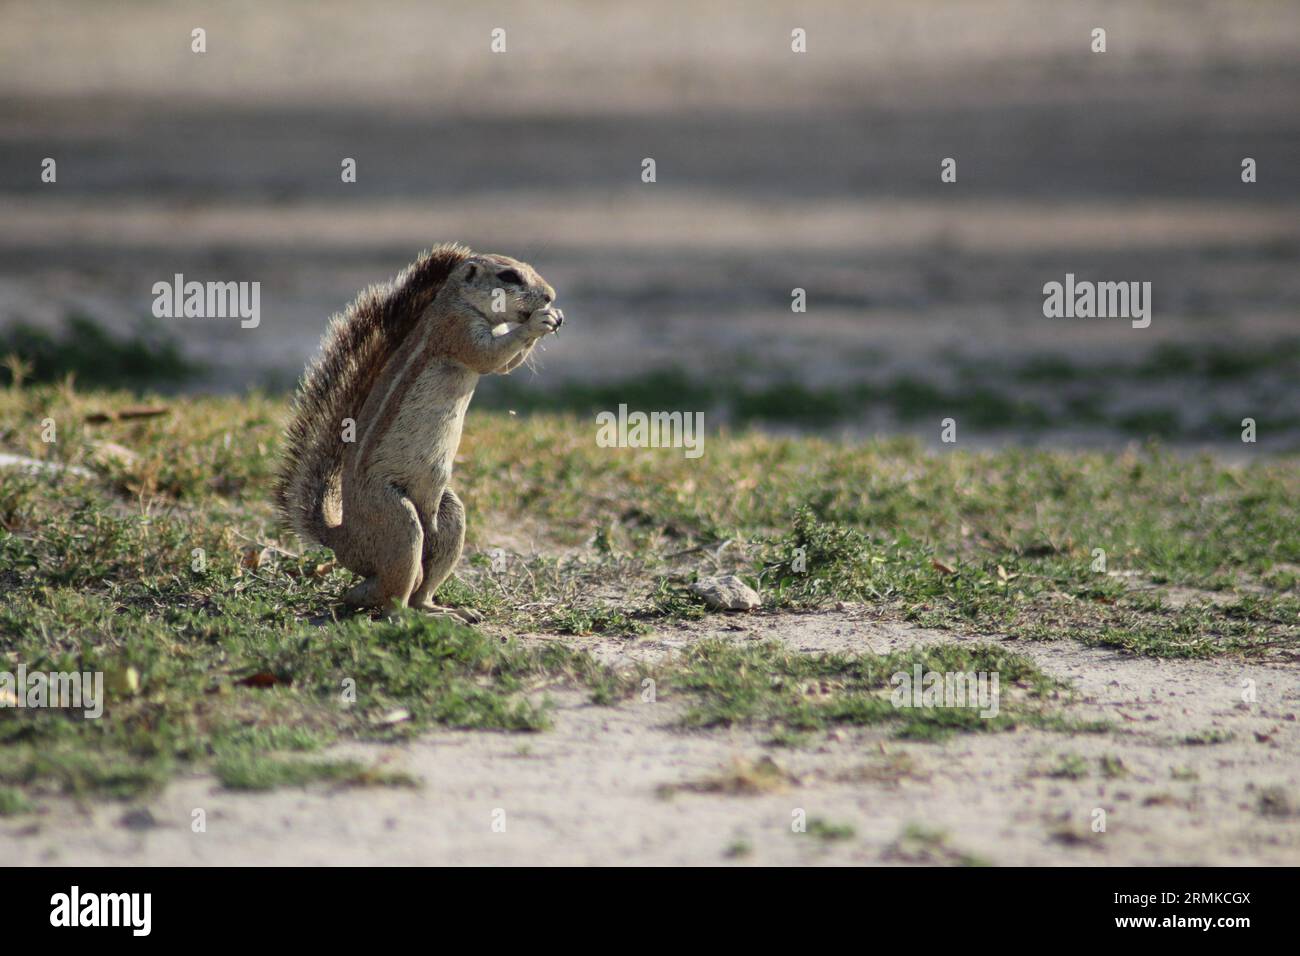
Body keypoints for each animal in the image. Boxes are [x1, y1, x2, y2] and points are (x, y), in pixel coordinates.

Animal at [275, 243, 562, 619]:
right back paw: (402, 614)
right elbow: (490, 356)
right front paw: (540, 321)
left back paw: (444, 611)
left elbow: (505, 364)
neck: (458, 301)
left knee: (404, 587)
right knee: (389, 596)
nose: (550, 295)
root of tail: (342, 538)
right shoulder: (456, 330)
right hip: (397, 519)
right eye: (509, 275)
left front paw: (553, 316)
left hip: (448, 513)